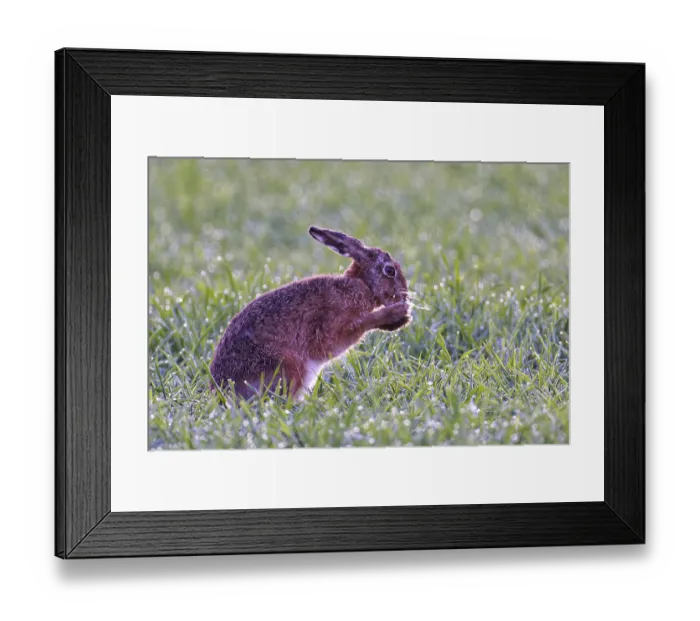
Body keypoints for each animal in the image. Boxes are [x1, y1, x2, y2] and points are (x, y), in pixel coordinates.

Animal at [209, 226, 412, 402]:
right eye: (390, 270)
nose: (405, 295)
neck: (361, 285)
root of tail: (222, 393)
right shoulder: (331, 327)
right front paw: (398, 312)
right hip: (287, 364)